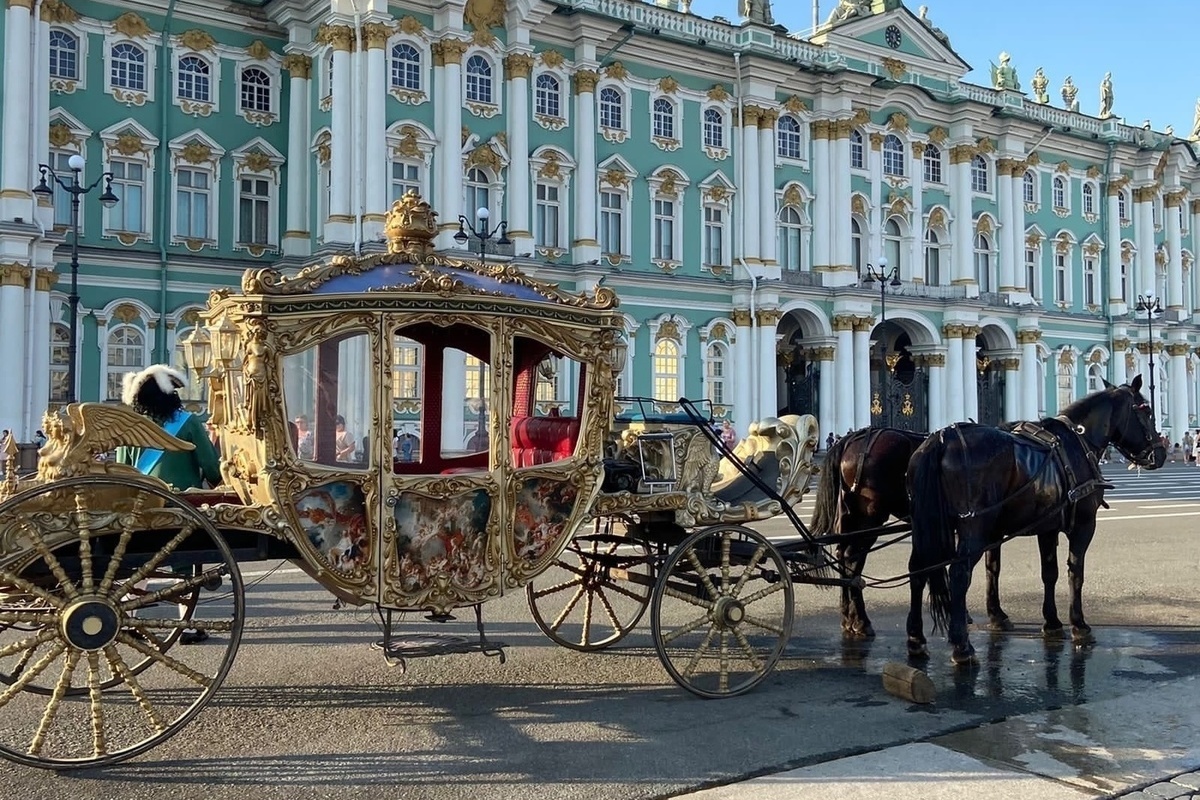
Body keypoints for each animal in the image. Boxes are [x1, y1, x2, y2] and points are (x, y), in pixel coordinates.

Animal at [907, 379, 1161, 666]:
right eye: (1146, 411)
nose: (1161, 453)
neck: (1077, 441)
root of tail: (941, 438)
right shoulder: (1083, 525)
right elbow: (1076, 572)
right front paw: (1079, 625)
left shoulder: (1046, 527)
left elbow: (1045, 572)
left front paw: (1050, 623)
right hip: (973, 528)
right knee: (959, 574)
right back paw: (962, 647)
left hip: (926, 526)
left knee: (917, 571)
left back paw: (916, 640)